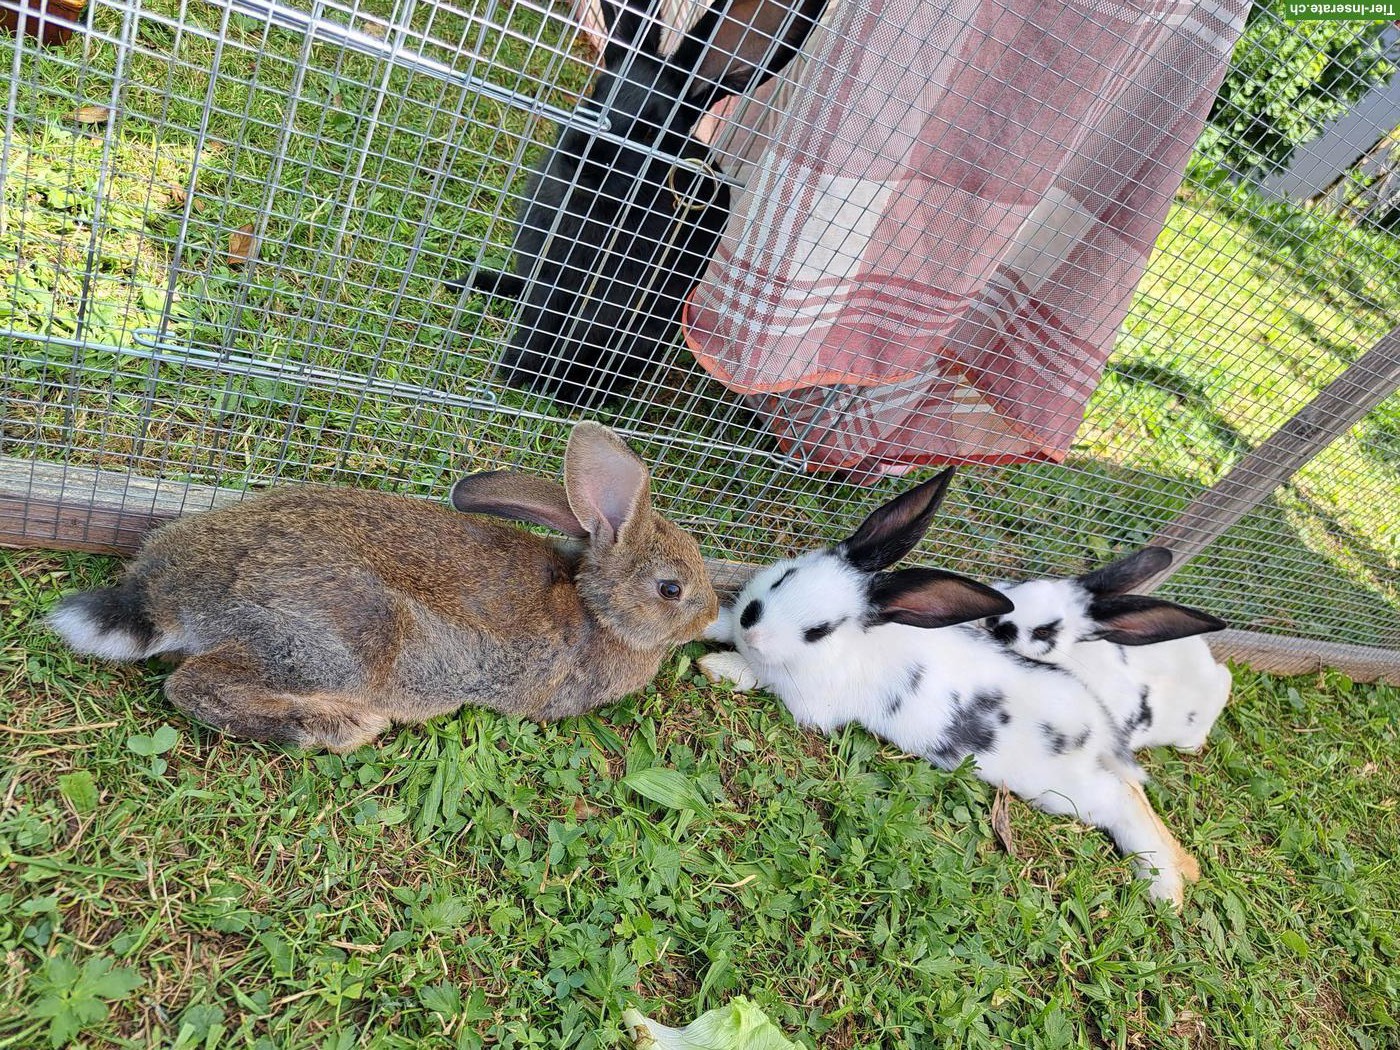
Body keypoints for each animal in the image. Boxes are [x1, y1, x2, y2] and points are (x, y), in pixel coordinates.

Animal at [48, 422, 718, 752]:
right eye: (671, 590)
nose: (711, 617)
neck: (594, 606)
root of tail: (166, 593)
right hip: (339, 644)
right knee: (193, 686)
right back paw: (336, 727)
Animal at [452, 0, 828, 407]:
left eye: (651, 130)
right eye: (594, 96)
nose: (582, 158)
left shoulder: (613, 304)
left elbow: (573, 338)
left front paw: (526, 378)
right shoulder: (549, 279)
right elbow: (539, 322)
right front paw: (515, 369)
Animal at [701, 469, 1202, 906]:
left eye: (818, 630)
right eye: (784, 577)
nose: (753, 627)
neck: (849, 644)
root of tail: (1100, 729)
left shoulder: (806, 699)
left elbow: (761, 676)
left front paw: (719, 666)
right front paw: (709, 624)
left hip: (1068, 792)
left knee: (1123, 802)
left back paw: (1165, 889)